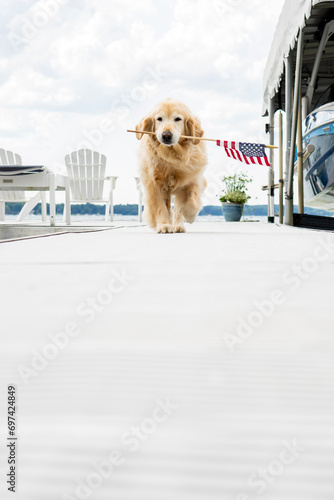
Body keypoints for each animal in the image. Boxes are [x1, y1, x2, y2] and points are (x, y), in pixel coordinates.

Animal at [136, 98, 206, 233]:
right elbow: (160, 207)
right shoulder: (154, 184)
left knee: (178, 209)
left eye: (177, 119)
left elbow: (192, 199)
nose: (166, 135)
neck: (172, 156)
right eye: (159, 119)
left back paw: (178, 226)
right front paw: (163, 225)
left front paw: (190, 215)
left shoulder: (192, 178)